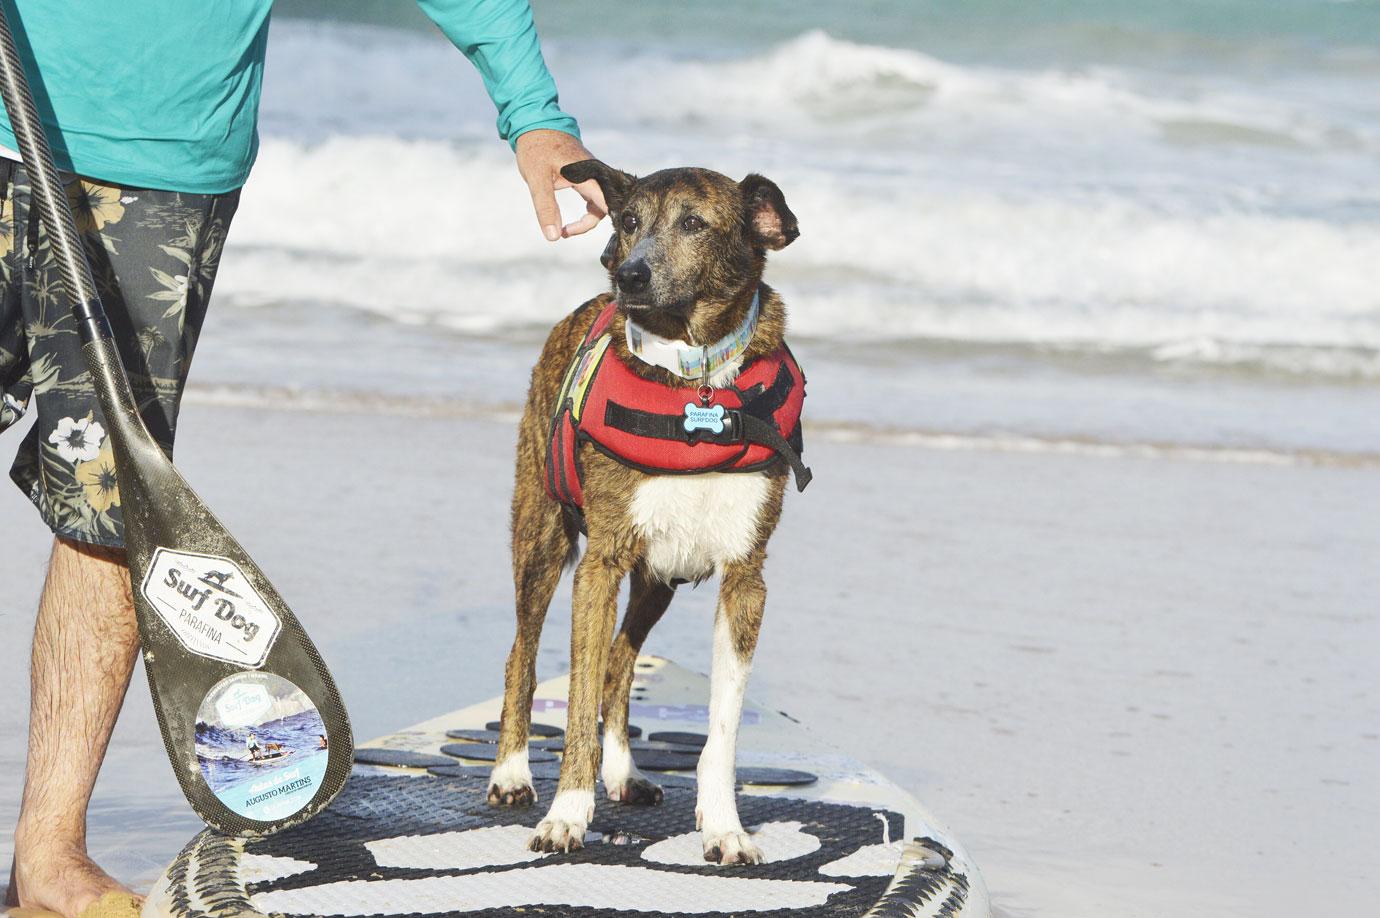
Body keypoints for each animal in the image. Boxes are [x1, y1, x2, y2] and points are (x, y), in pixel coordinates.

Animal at [485, 159, 805, 866]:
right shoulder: (599, 567)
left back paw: (624, 771)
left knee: (620, 663)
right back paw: (512, 772)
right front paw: (567, 815)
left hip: (660, 576)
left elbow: (721, 724)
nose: (628, 274)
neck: (696, 383)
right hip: (542, 536)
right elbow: (576, 700)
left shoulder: (746, 578)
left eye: (694, 224)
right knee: (524, 652)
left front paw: (723, 826)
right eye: (629, 219)